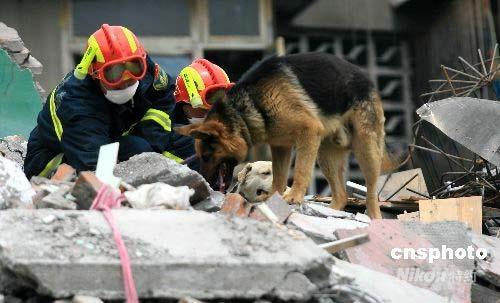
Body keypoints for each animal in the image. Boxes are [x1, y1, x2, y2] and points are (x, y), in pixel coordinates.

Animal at [178, 52, 400, 218]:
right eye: (201, 157)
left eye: (207, 156)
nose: (205, 184)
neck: (248, 107)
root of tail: (367, 79)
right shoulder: (280, 147)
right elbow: (278, 178)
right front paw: (274, 200)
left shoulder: (308, 132)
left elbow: (301, 170)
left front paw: (293, 197)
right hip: (325, 156)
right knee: (341, 195)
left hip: (365, 149)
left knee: (371, 193)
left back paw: (374, 218)